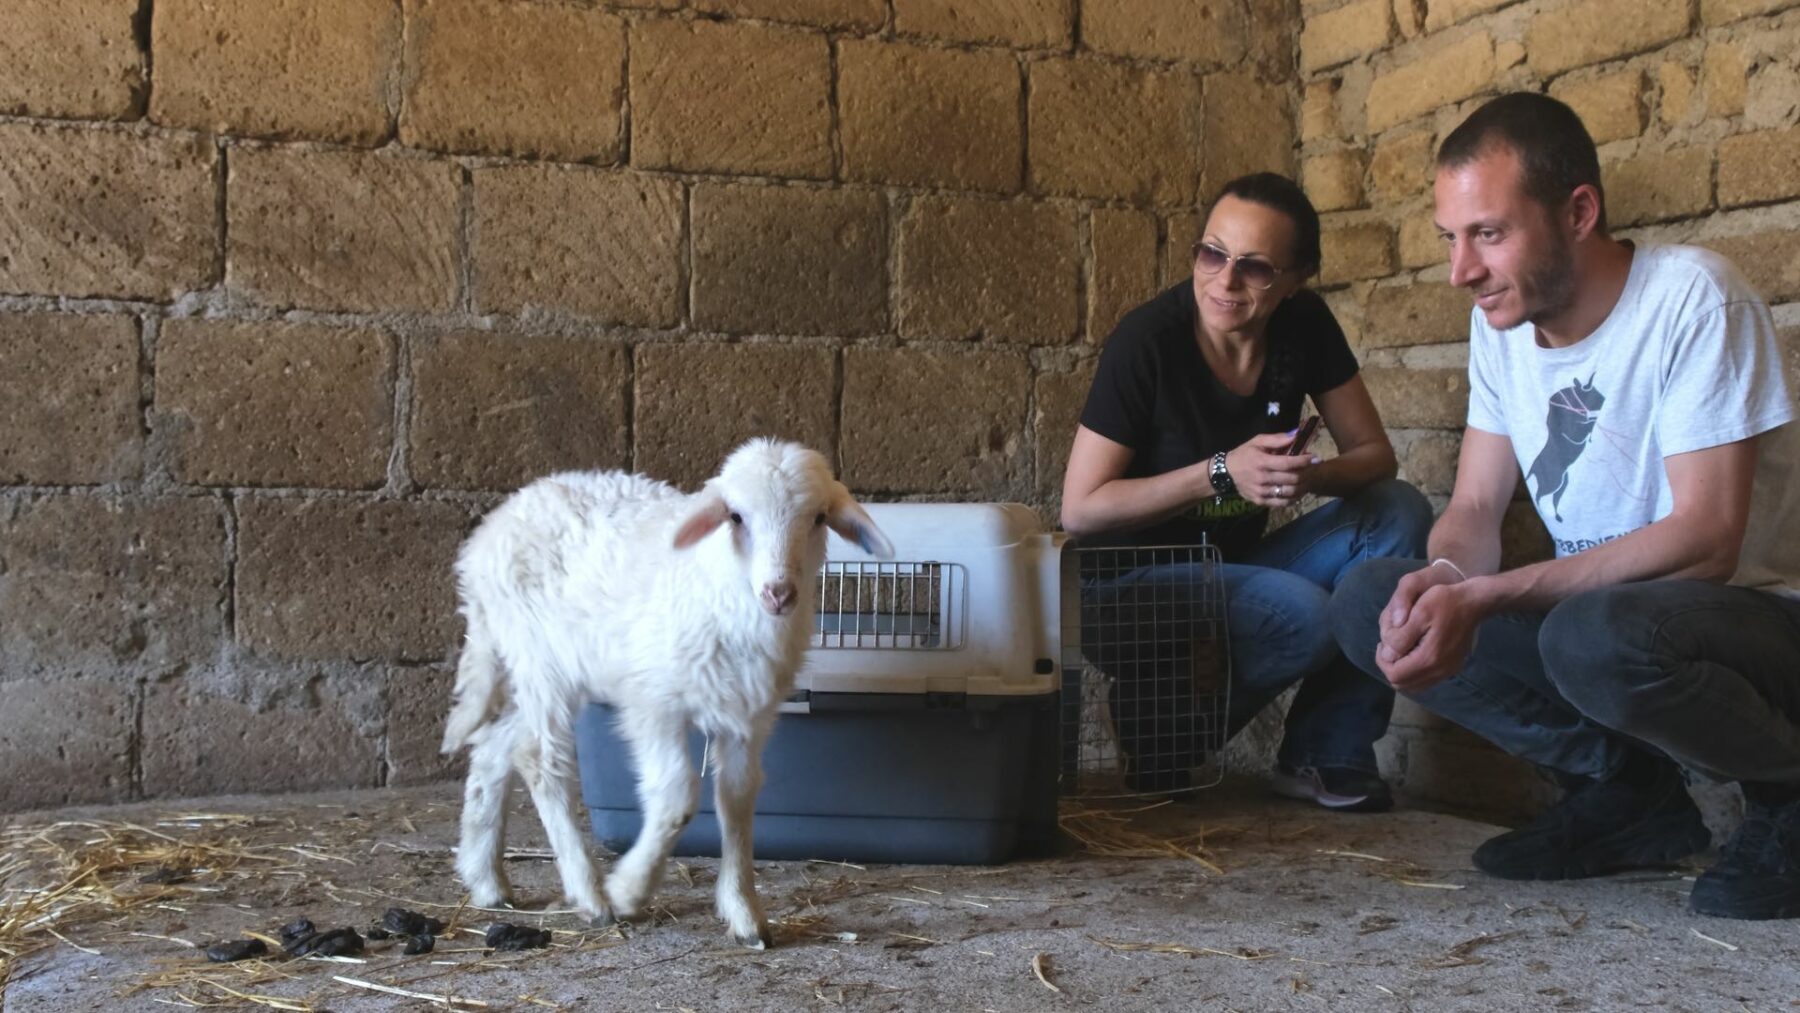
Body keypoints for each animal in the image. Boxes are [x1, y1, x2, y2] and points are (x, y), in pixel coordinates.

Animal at [435, 437, 885, 950]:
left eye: (818, 518)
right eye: (735, 516)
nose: (779, 593)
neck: (719, 589)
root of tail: (485, 539)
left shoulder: (747, 716)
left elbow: (737, 800)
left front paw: (744, 911)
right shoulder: (654, 703)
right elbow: (676, 797)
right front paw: (630, 890)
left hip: (554, 670)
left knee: (494, 746)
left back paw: (486, 879)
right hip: (540, 659)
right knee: (538, 759)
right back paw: (589, 894)